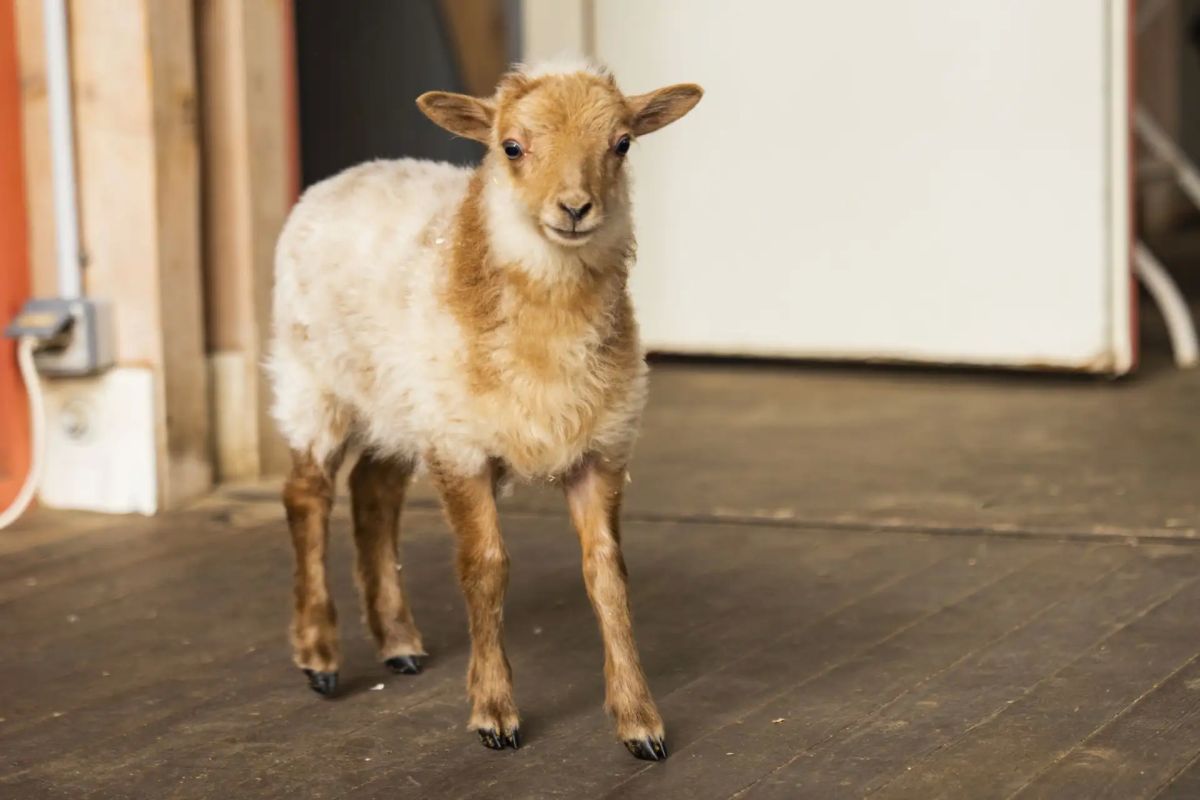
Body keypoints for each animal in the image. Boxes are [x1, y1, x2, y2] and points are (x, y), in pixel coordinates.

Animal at [268, 61, 702, 761]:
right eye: (512, 147)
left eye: (623, 144)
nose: (575, 208)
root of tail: (349, 173)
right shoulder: (462, 448)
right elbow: (486, 569)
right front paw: (495, 712)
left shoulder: (601, 448)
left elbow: (607, 575)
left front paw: (640, 721)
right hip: (315, 381)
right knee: (307, 495)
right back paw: (319, 654)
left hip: (403, 401)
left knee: (373, 493)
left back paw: (399, 642)